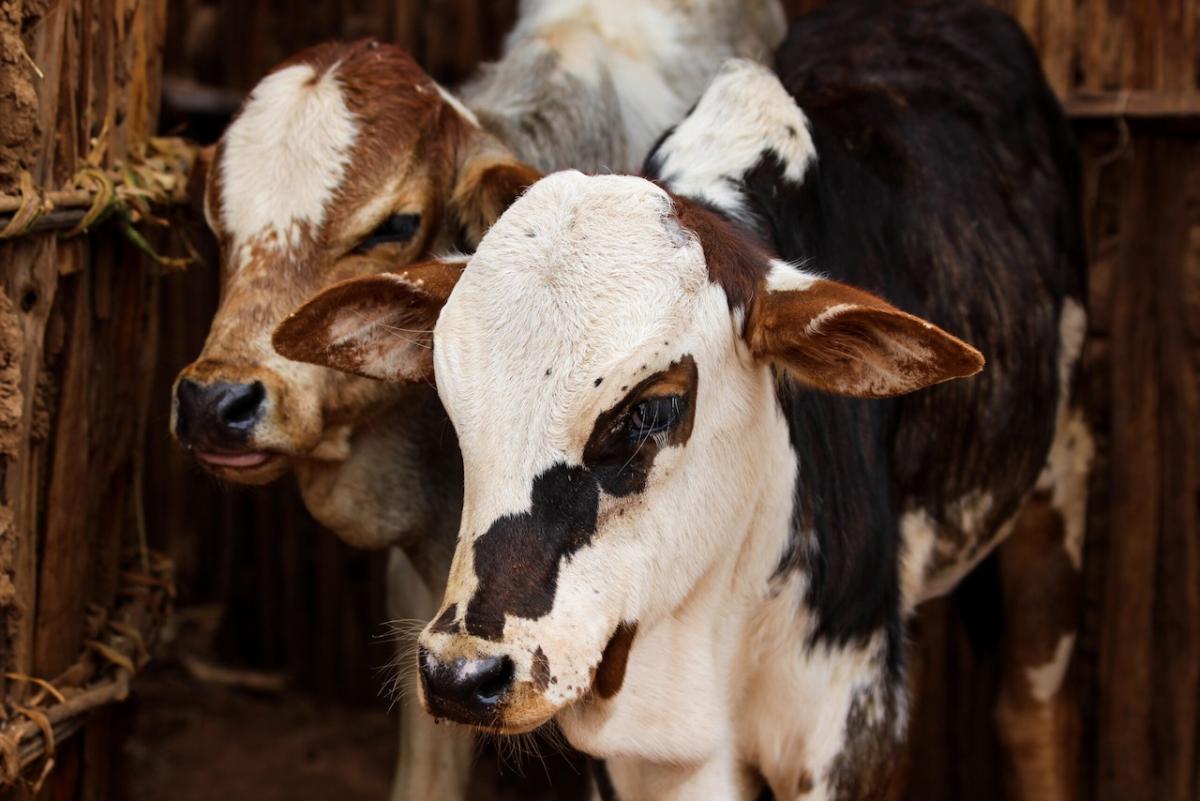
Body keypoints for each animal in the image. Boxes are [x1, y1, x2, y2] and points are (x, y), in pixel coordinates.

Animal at [274, 1, 1090, 799]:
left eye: (653, 408)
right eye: (451, 401)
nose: (461, 674)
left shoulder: (850, 732)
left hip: (1059, 484)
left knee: (1031, 711)